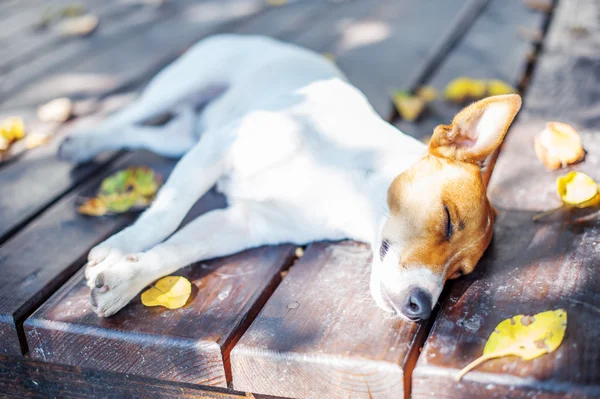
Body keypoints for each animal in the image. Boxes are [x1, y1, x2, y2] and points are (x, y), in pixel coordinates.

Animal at [58, 35, 524, 322]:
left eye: (458, 274)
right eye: (446, 219)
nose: (421, 307)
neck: (346, 181)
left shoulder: (242, 224)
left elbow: (177, 250)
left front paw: (124, 281)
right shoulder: (217, 149)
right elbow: (165, 216)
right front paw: (120, 247)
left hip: (183, 138)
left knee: (140, 132)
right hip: (183, 87)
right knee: (124, 116)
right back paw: (82, 141)